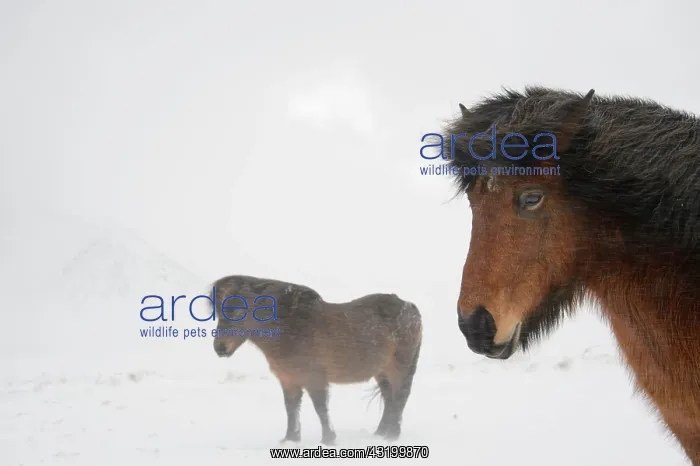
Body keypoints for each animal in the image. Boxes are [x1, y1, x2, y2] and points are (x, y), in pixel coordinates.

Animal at [209, 275, 423, 445]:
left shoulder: (315, 379)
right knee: (389, 398)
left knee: (400, 397)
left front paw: (328, 439)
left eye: (238, 311)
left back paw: (392, 436)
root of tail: (410, 307)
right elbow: (291, 409)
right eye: (218, 313)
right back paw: (380, 433)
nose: (220, 348)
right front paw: (290, 439)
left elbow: (320, 409)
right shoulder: (288, 380)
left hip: (400, 368)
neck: (291, 327)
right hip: (381, 371)